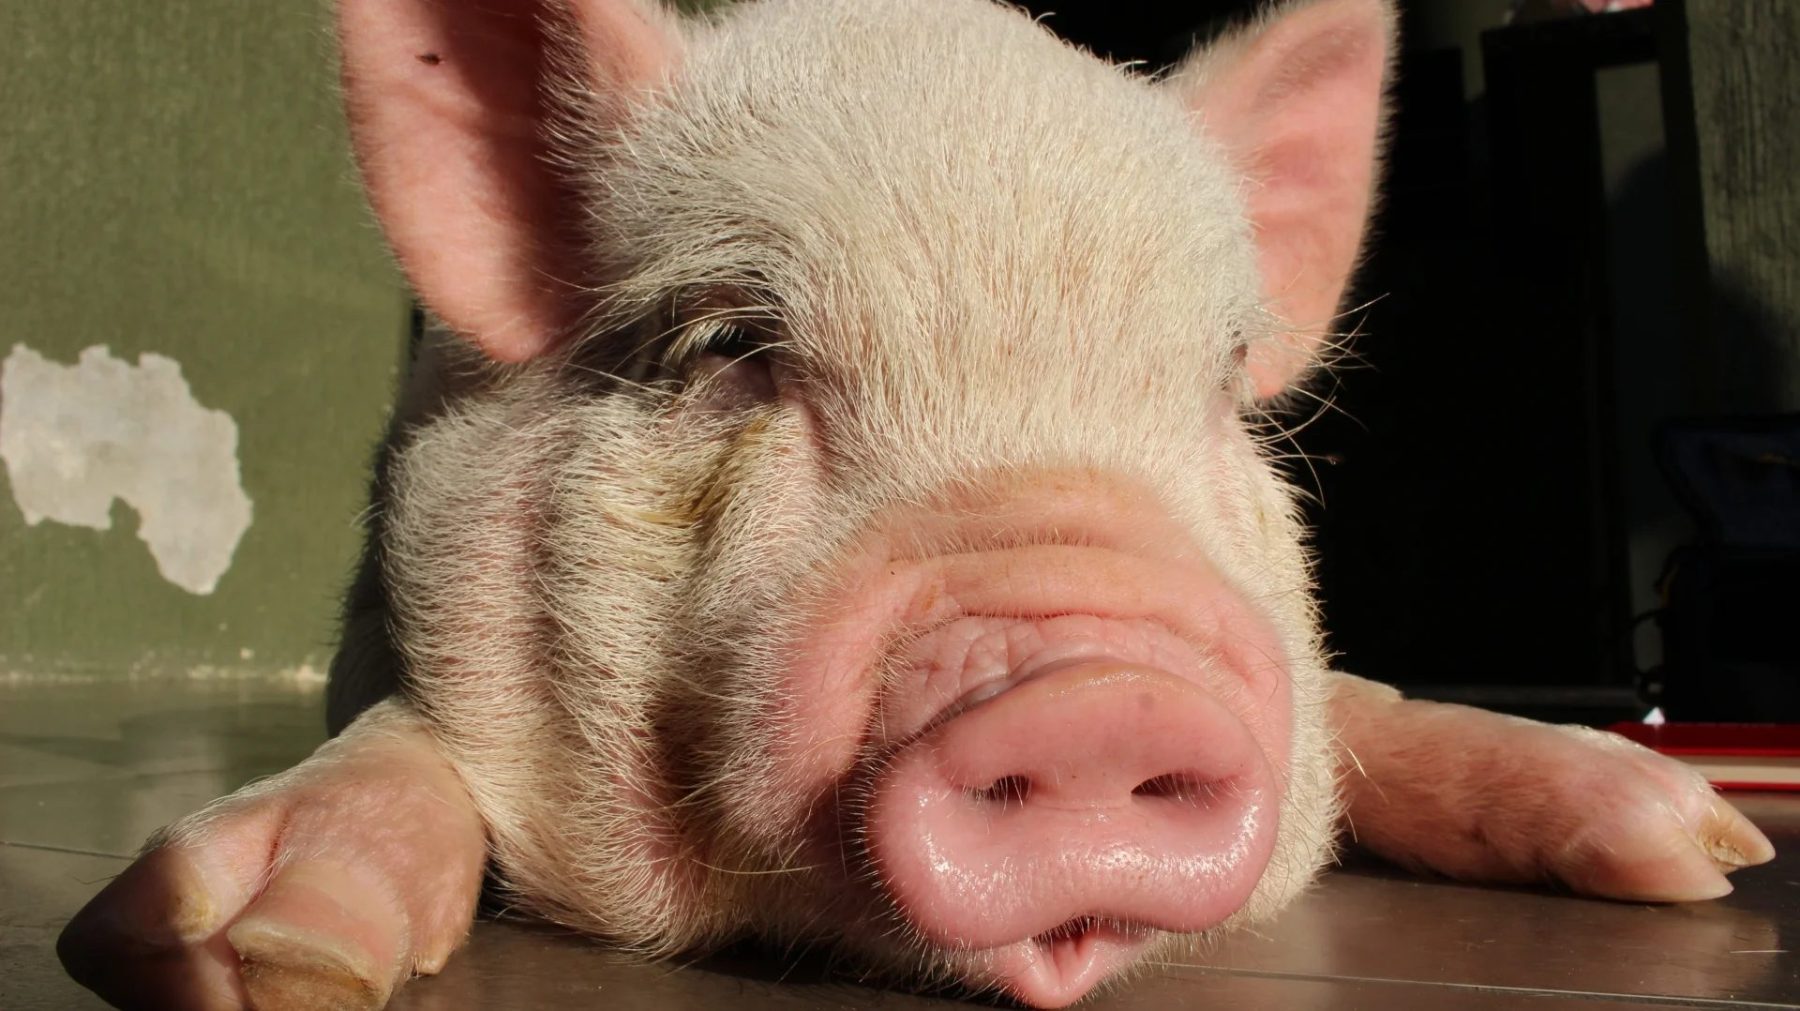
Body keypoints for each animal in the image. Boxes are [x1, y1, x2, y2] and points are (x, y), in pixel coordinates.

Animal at [58, 0, 1775, 1008]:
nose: (1100, 686)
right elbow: (405, 738)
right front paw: (242, 942)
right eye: (730, 346)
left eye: (1220, 380)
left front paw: (1708, 853)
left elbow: (1353, 707)